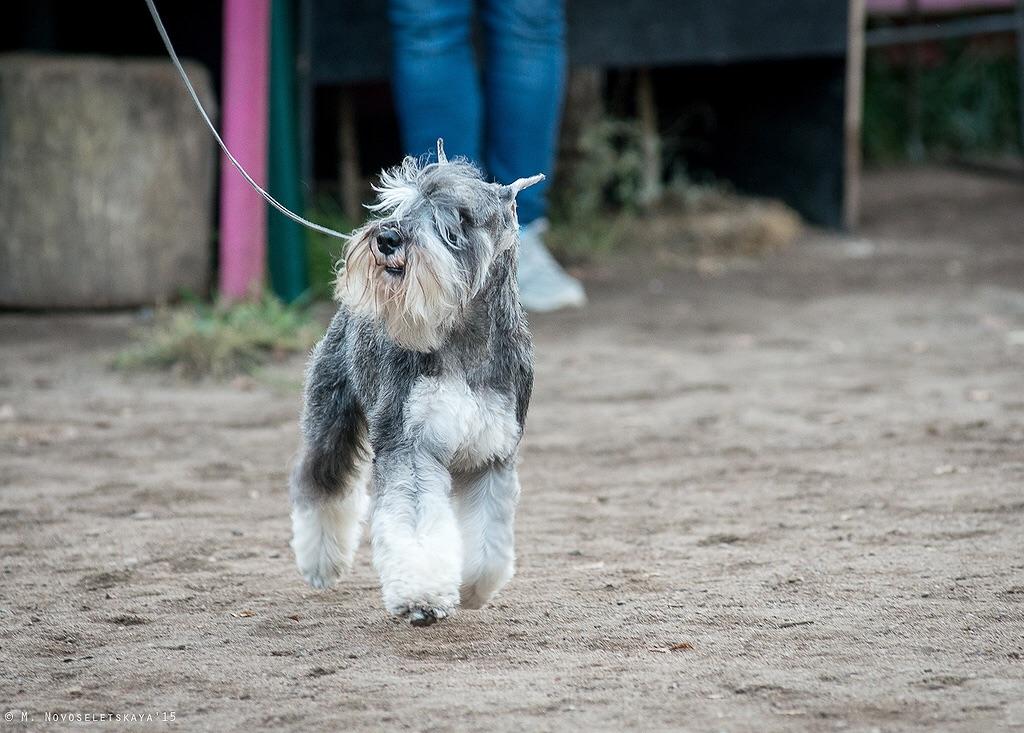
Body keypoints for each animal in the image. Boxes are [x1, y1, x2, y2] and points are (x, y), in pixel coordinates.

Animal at [289, 140, 541, 626]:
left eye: (460, 217)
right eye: (403, 203)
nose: (386, 239)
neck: (463, 337)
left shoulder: (494, 453)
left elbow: (489, 537)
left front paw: (473, 588)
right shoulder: (411, 446)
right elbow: (417, 525)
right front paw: (421, 594)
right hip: (331, 418)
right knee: (321, 484)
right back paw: (321, 563)